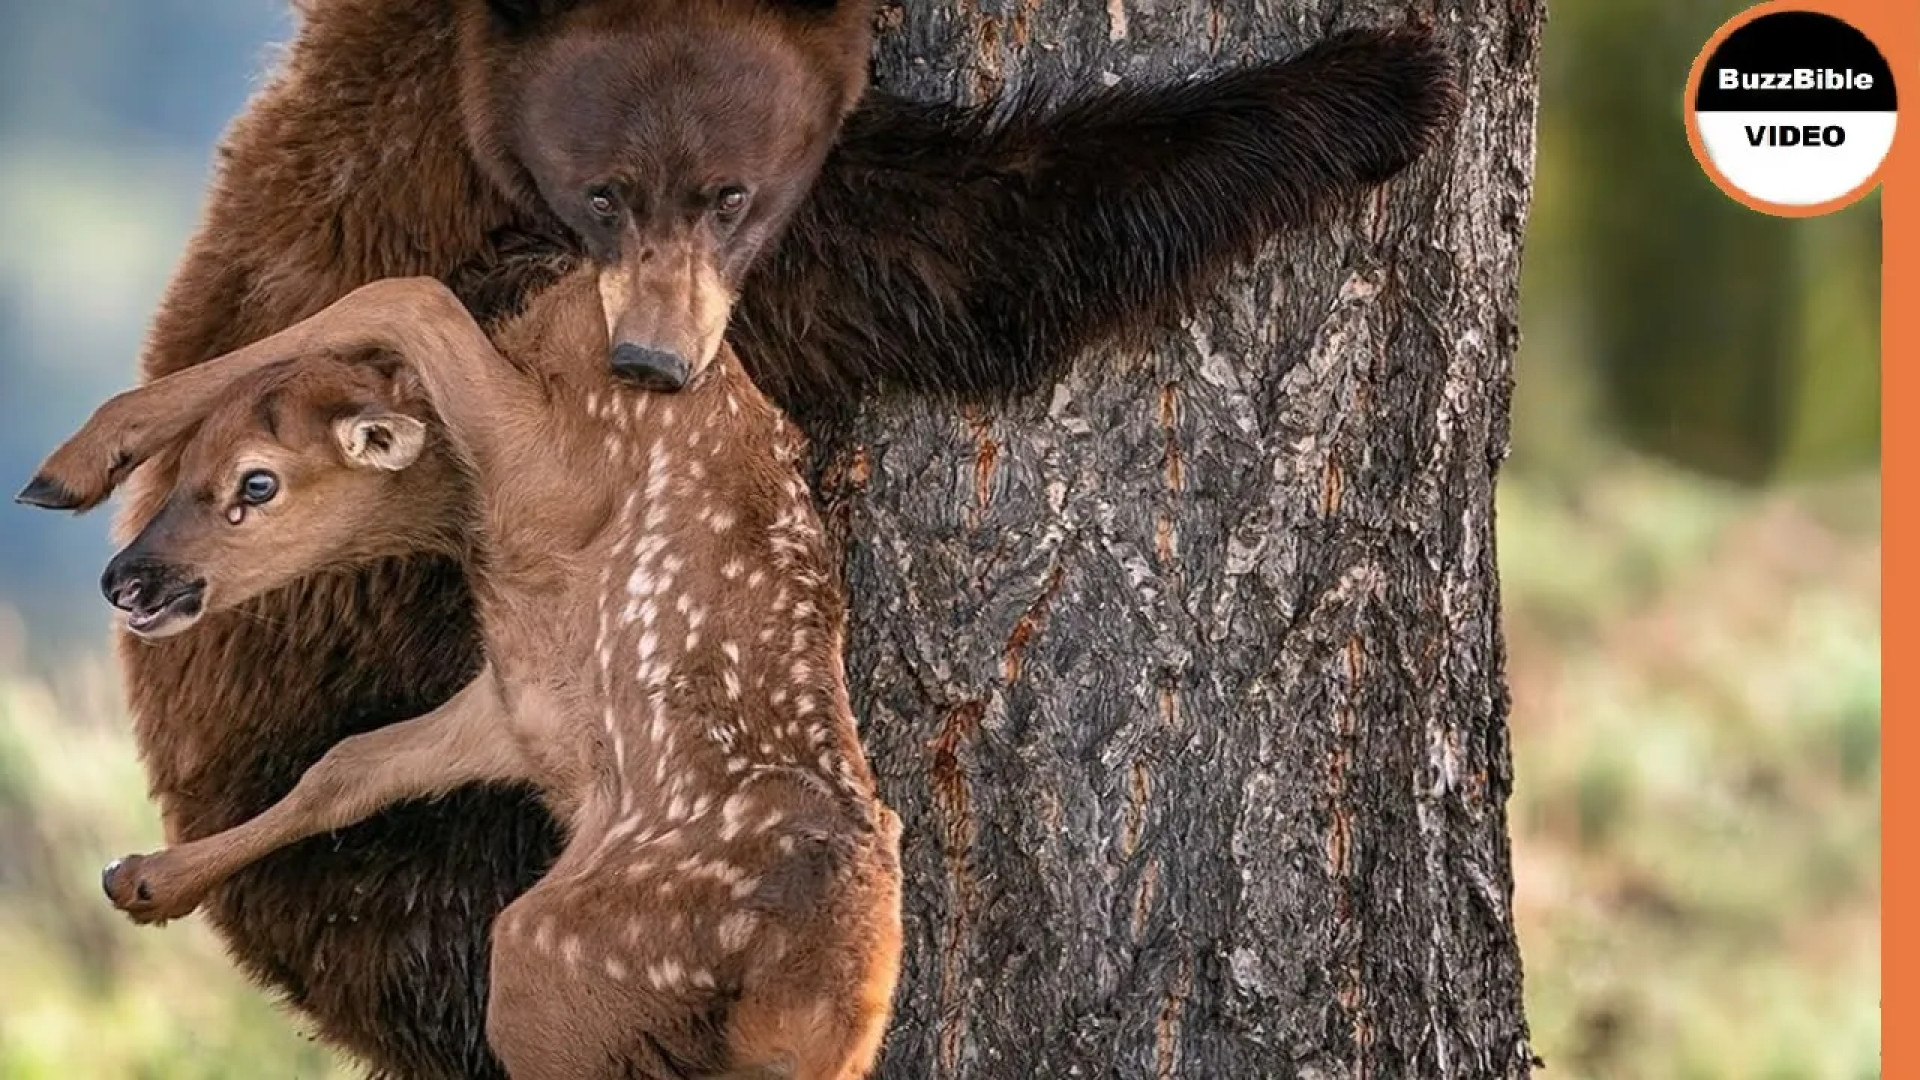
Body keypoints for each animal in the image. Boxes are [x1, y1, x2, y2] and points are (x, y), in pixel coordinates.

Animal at [22, 270, 906, 1076]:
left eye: (257, 480)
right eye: (184, 466)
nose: (127, 580)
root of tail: (814, 997)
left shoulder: (558, 478)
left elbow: (406, 296)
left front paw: (68, 466)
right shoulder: (523, 698)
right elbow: (346, 766)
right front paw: (145, 882)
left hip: (553, 968)